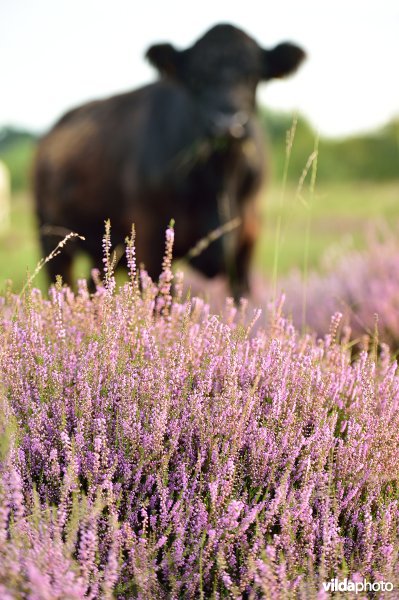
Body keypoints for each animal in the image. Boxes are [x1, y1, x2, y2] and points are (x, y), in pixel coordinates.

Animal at [34, 24, 306, 298]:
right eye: (196, 79)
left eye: (253, 77)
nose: (227, 124)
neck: (219, 180)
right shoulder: (151, 239)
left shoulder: (247, 241)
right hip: (50, 237)